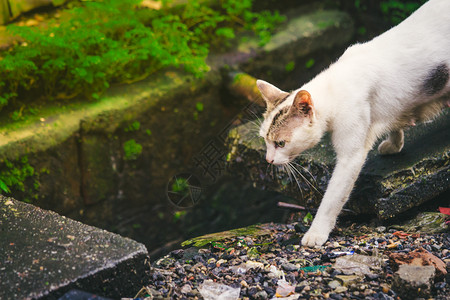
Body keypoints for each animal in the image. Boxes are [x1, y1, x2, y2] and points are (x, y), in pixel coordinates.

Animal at [256, 0, 450, 247]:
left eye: (280, 143)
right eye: (265, 140)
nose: (268, 160)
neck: (334, 86)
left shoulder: (351, 156)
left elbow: (332, 199)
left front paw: (316, 233)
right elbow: (395, 119)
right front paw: (394, 143)